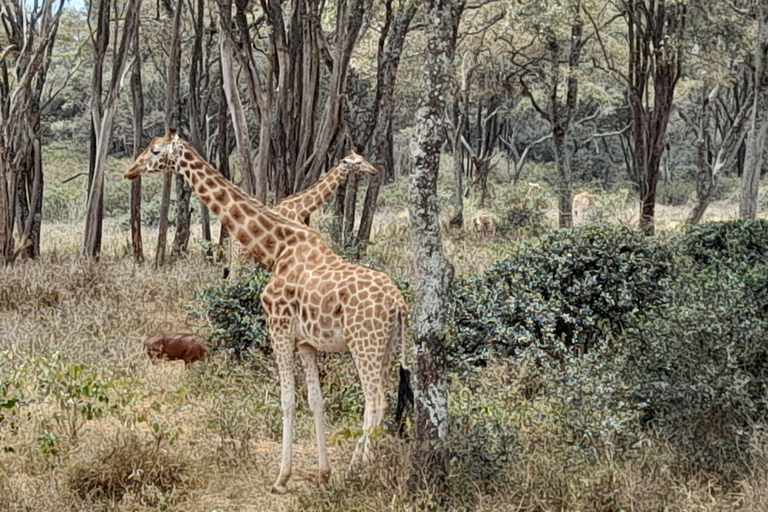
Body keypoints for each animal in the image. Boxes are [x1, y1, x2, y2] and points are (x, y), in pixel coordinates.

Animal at [228, 152, 380, 276]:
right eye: (358, 162)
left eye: (363, 158)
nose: (374, 170)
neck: (300, 209)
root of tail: (232, 240)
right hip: (242, 257)